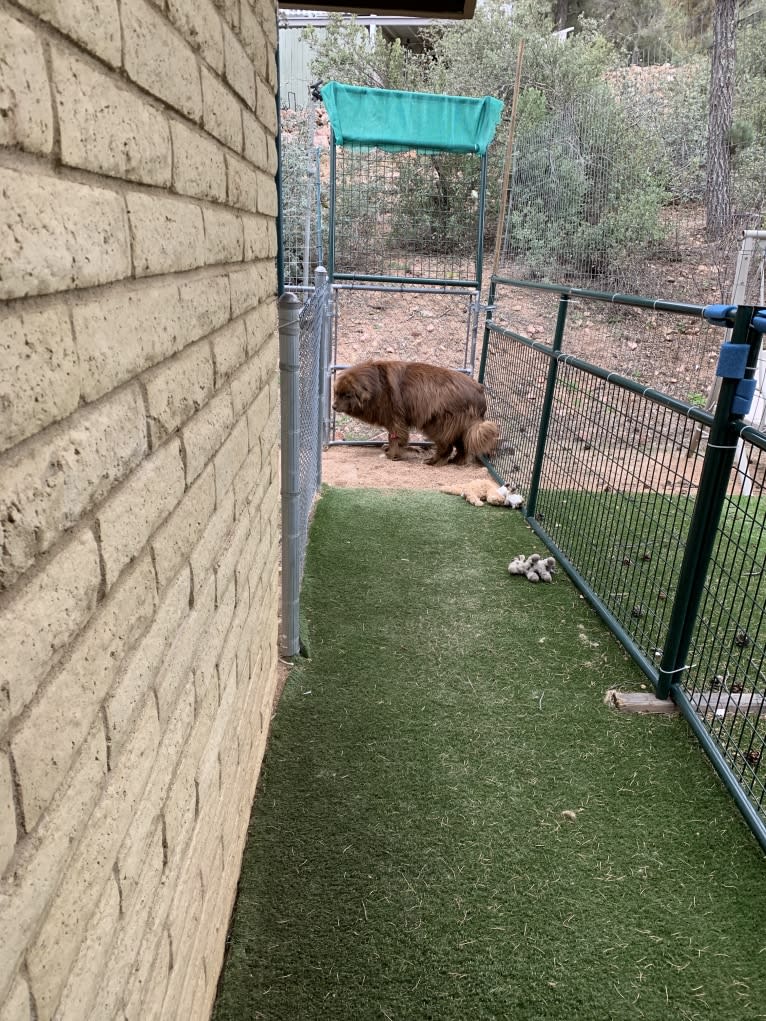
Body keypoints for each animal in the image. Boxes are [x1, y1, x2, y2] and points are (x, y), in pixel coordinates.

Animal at [332, 359, 500, 467]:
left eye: (347, 395)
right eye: (336, 393)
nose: (333, 406)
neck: (377, 385)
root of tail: (479, 392)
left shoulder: (396, 420)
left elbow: (396, 438)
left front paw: (392, 455)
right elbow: (392, 438)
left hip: (437, 424)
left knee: (446, 446)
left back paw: (433, 462)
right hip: (460, 427)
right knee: (462, 446)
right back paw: (456, 461)